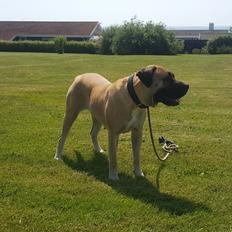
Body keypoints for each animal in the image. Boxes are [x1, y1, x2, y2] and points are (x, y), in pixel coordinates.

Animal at [54, 64, 188, 180]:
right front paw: (113, 176)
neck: (134, 98)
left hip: (97, 116)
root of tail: (80, 76)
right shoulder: (113, 133)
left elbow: (136, 156)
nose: (187, 85)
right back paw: (58, 156)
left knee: (93, 133)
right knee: (62, 137)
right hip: (71, 113)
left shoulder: (137, 132)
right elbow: (113, 157)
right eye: (167, 79)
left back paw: (98, 149)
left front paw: (138, 173)